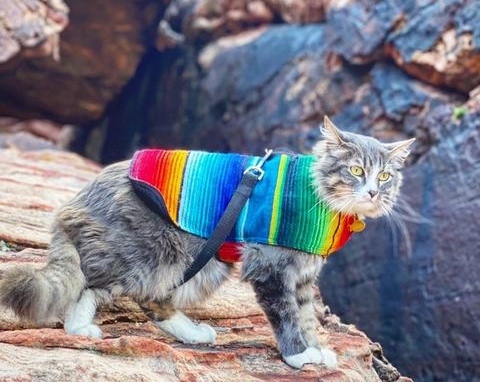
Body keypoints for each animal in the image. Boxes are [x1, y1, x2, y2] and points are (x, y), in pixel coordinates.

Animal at [0, 117, 412, 370]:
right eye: (356, 170)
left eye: (386, 176)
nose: (373, 192)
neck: (323, 205)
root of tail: (76, 201)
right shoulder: (270, 268)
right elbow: (287, 316)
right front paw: (298, 356)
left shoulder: (303, 277)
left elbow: (307, 316)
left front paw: (316, 349)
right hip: (157, 254)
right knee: (96, 285)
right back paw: (80, 329)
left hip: (203, 263)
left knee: (154, 302)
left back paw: (194, 333)